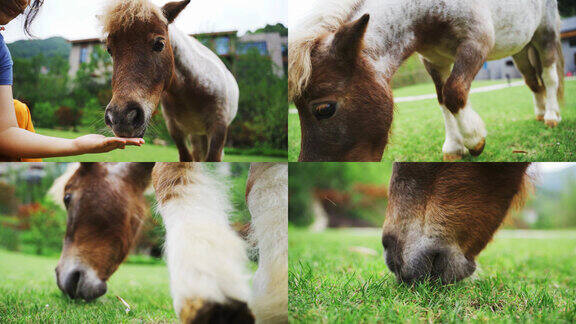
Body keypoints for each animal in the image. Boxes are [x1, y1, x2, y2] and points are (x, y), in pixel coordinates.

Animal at [102, 0, 237, 162]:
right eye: (109, 50)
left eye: (159, 44)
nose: (121, 117)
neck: (192, 90)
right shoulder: (176, 130)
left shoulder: (218, 131)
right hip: (196, 135)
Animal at [288, 0, 564, 161]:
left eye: (324, 108)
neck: (428, 12)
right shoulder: (434, 60)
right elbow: (443, 100)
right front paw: (454, 146)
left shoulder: (476, 43)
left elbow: (454, 93)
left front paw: (474, 141)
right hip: (521, 49)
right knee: (533, 81)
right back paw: (540, 113)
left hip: (545, 35)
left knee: (549, 78)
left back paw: (552, 116)